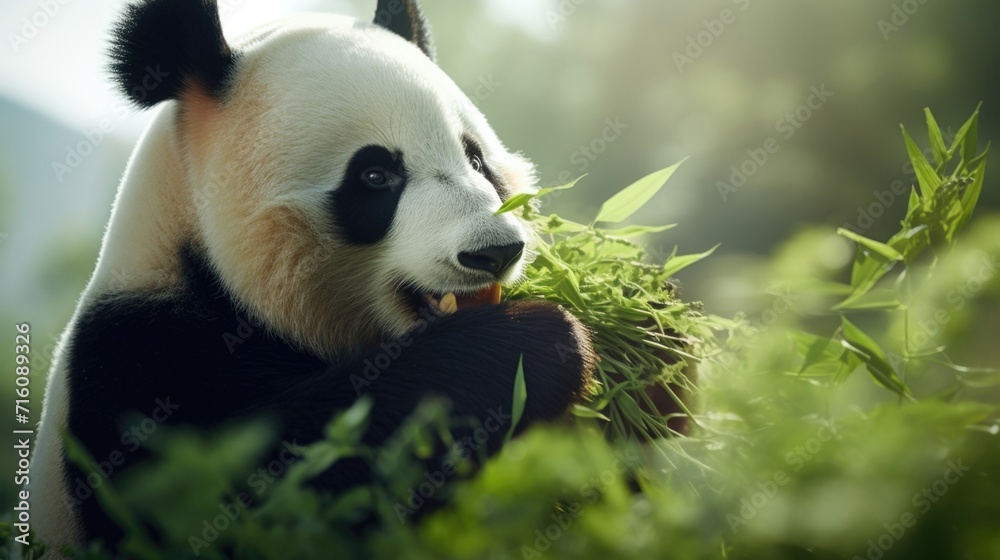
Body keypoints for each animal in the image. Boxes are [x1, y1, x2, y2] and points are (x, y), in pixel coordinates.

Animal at [31, 0, 596, 552]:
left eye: (476, 160)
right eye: (375, 175)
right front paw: (537, 341)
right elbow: (261, 486)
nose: (494, 252)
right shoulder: (140, 370)